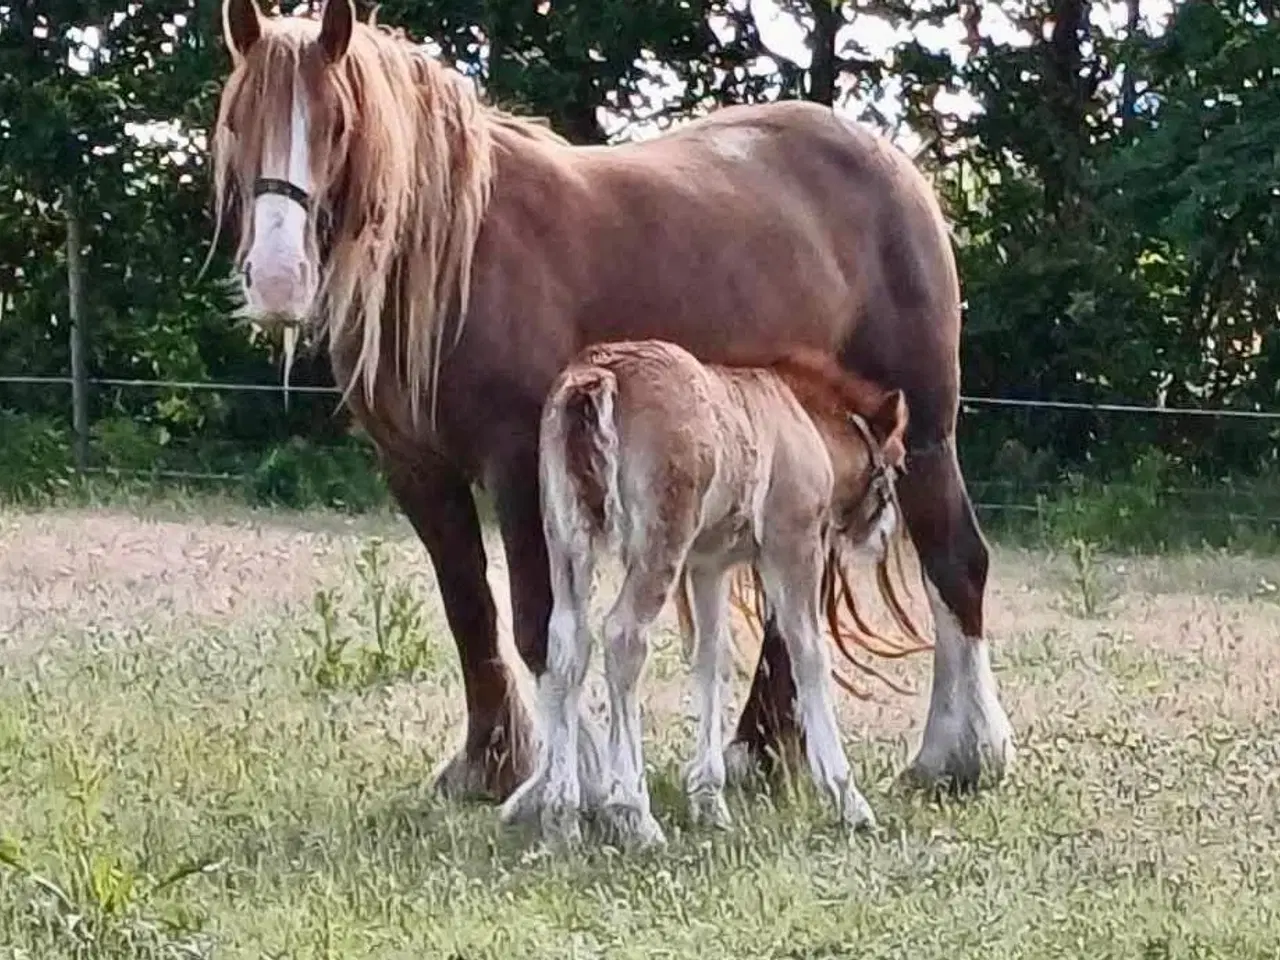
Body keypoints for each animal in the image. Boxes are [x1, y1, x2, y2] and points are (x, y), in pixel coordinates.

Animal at [207, 0, 1008, 798]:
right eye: (235, 119)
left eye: (339, 122)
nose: (276, 279)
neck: (459, 253)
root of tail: (896, 166)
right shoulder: (416, 471)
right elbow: (470, 611)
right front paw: (489, 763)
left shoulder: (519, 462)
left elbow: (540, 623)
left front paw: (576, 774)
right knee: (796, 606)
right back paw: (758, 749)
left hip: (924, 434)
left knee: (956, 561)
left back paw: (959, 754)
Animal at [499, 340, 911, 849]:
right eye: (897, 464)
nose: (884, 536)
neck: (801, 421)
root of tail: (599, 376)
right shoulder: (792, 545)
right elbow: (809, 653)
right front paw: (848, 798)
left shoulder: (708, 564)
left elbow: (712, 658)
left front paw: (709, 800)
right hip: (660, 540)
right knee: (622, 636)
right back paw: (634, 814)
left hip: (566, 542)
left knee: (567, 643)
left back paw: (563, 815)